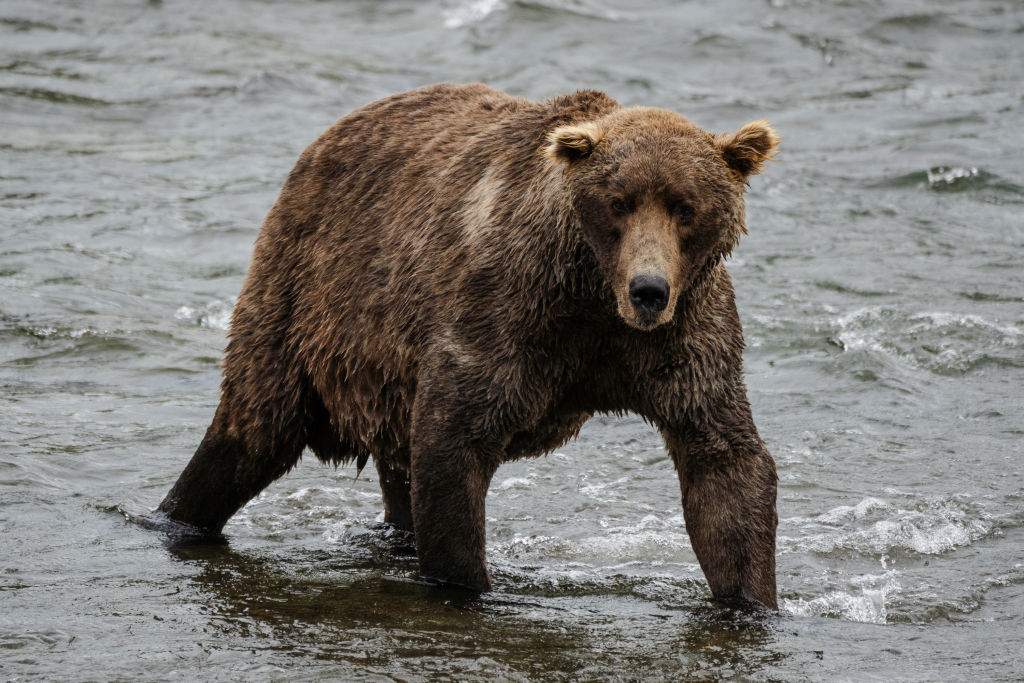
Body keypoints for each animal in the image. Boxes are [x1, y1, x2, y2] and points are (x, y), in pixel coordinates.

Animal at [157, 83, 780, 608]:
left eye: (685, 207)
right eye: (618, 201)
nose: (648, 289)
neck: (592, 296)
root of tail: (331, 135)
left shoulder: (683, 337)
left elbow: (723, 461)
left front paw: (750, 602)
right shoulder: (507, 311)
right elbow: (454, 441)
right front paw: (469, 587)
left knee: (395, 465)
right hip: (309, 299)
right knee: (252, 427)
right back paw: (177, 517)